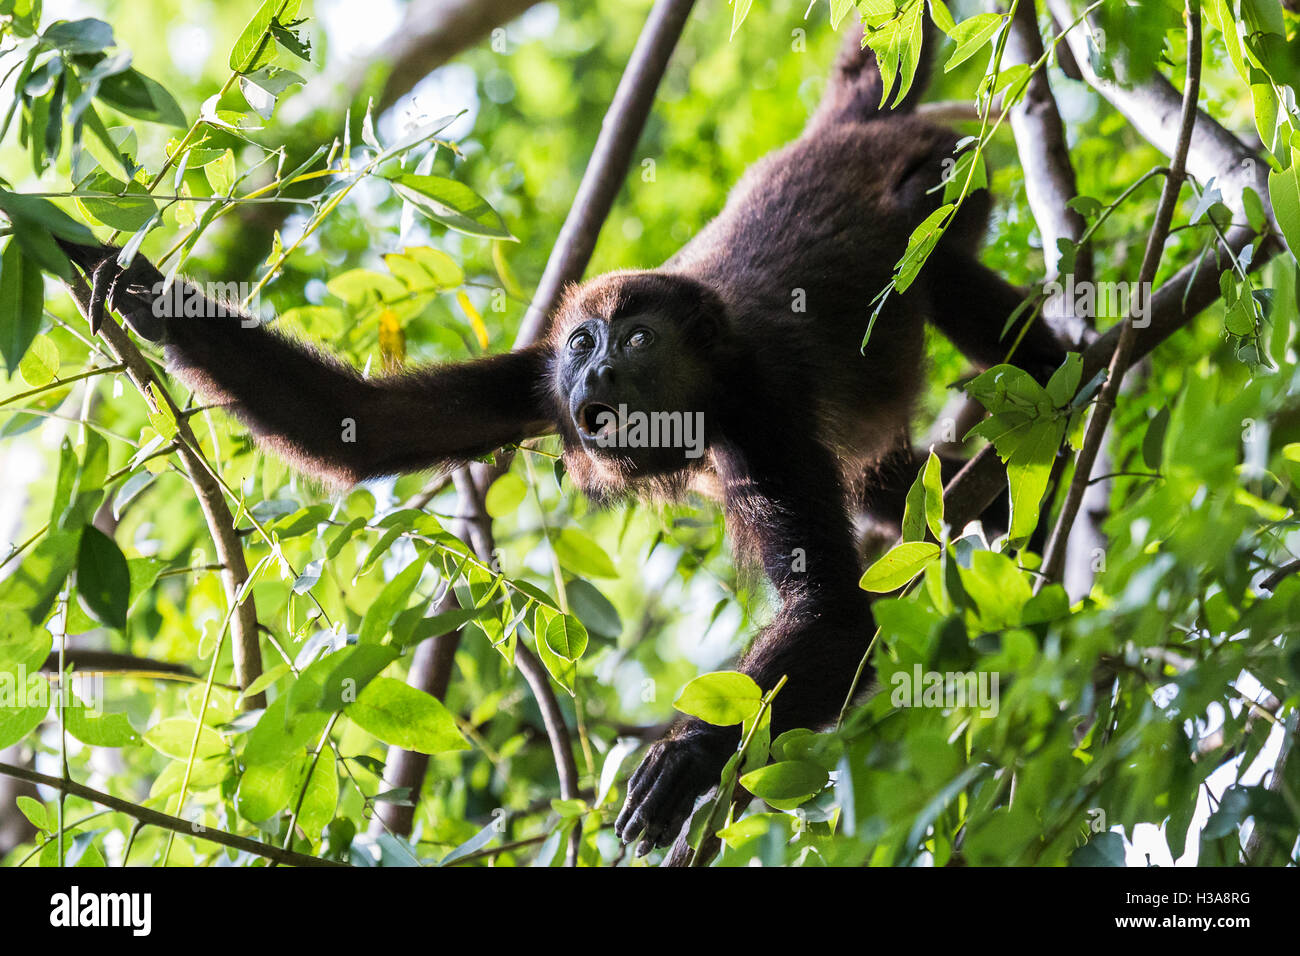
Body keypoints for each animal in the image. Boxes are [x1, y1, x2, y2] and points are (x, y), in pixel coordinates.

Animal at [58, 29, 1066, 858]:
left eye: (640, 340)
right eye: (584, 340)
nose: (599, 371)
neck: (700, 399)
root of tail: (847, 132)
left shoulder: (761, 411)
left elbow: (835, 613)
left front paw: (687, 757)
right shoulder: (537, 383)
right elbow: (362, 423)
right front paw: (128, 282)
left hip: (944, 174)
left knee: (941, 265)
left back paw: (1057, 404)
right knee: (884, 482)